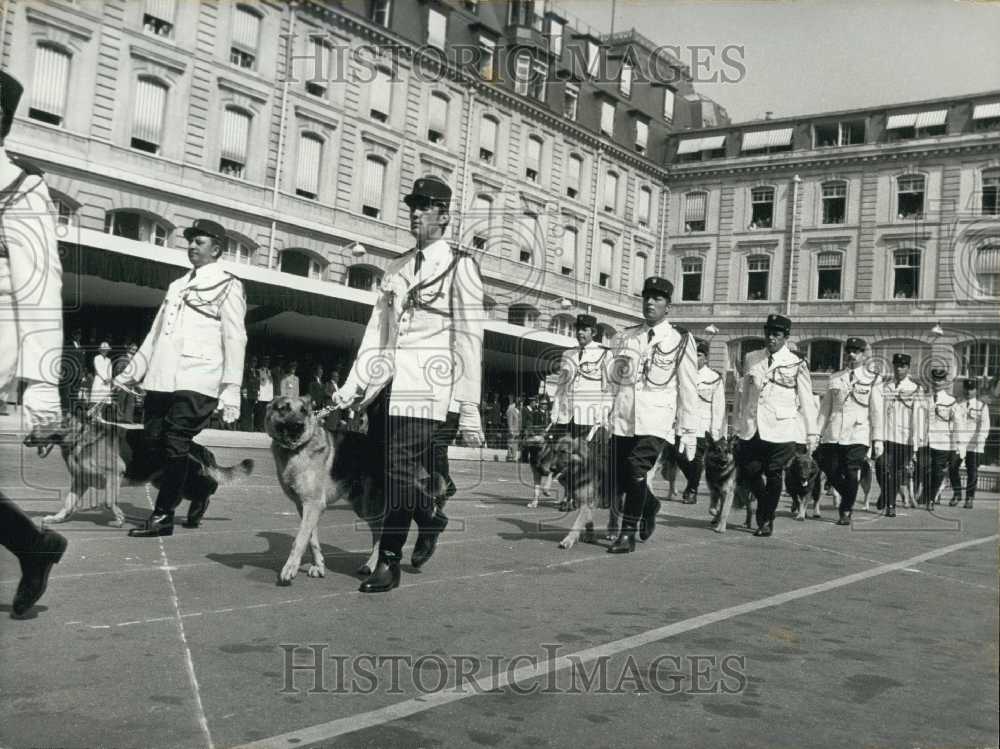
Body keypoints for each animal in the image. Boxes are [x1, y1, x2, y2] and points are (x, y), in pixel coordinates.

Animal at [24, 410, 254, 524]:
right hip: (163, 480)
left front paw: (118, 518)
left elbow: (108, 501)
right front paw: (58, 519)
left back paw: (196, 512)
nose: (25, 441)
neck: (80, 436)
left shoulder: (113, 475)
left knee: (207, 490)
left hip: (188, 480)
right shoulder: (80, 482)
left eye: (43, 424)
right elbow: (68, 503)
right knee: (178, 495)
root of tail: (198, 447)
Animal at [266, 398, 382, 584]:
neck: (298, 450)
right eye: (284, 408)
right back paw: (371, 565)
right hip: (363, 507)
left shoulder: (313, 505)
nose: (299, 425)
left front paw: (290, 568)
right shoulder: (305, 507)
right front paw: (319, 566)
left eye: (304, 410)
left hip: (370, 504)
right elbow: (311, 539)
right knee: (378, 532)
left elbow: (299, 540)